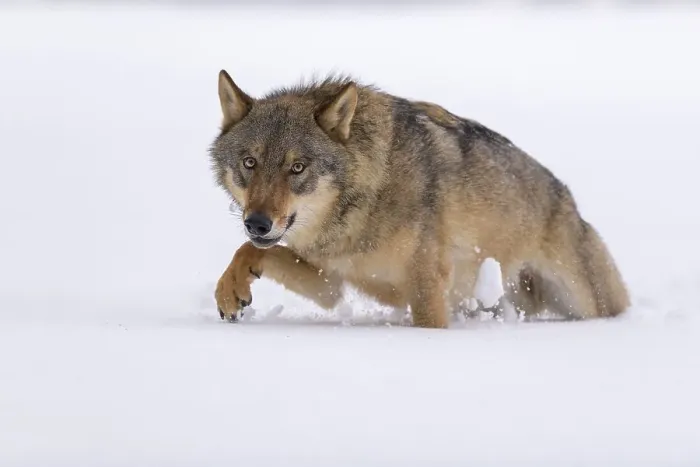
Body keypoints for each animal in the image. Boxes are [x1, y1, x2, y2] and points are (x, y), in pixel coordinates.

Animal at [208, 69, 630, 328]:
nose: (257, 222)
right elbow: (250, 250)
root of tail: (569, 200)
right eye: (249, 163)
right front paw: (230, 291)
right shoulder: (330, 283)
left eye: (297, 168)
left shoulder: (427, 286)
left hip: (585, 300)